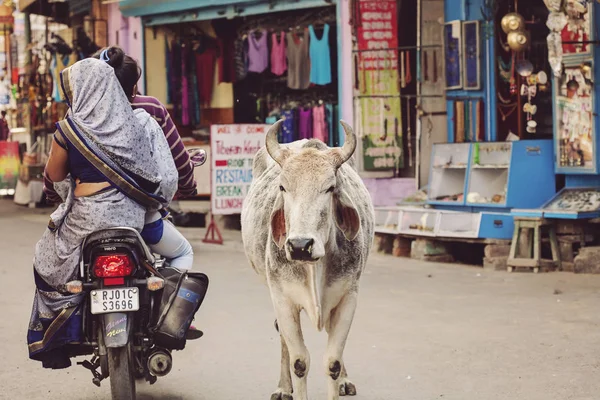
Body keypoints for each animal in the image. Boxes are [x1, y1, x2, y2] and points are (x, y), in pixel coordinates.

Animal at [240, 120, 372, 400]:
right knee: (283, 339)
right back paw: (283, 387)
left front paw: (339, 379)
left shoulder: (348, 297)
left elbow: (332, 361)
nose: (300, 245)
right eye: (282, 187)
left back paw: (344, 381)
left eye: (330, 187)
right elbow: (299, 362)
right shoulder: (282, 298)